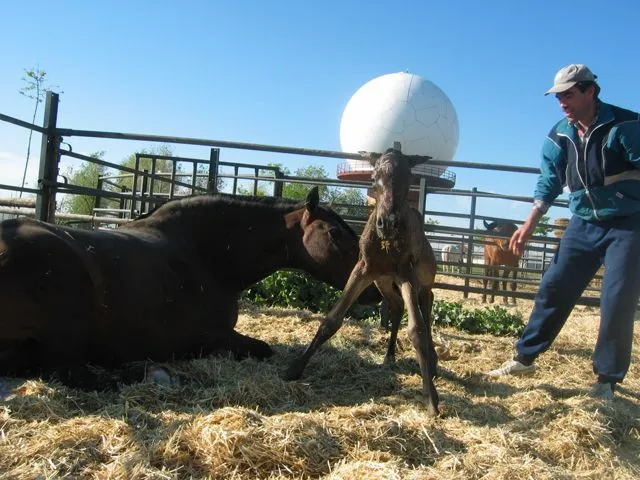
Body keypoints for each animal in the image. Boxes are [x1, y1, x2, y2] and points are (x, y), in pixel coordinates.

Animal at [0, 187, 379, 389]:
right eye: (334, 233)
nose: (372, 288)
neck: (204, 255)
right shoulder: (215, 337)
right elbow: (263, 348)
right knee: (77, 373)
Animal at [284, 148, 440, 416]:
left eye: (409, 176)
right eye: (374, 177)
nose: (388, 223)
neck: (387, 244)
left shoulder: (407, 273)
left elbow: (417, 330)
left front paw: (431, 397)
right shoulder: (364, 269)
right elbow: (331, 320)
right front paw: (295, 368)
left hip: (423, 280)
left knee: (427, 308)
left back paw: (432, 361)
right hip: (383, 282)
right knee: (397, 307)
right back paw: (390, 356)